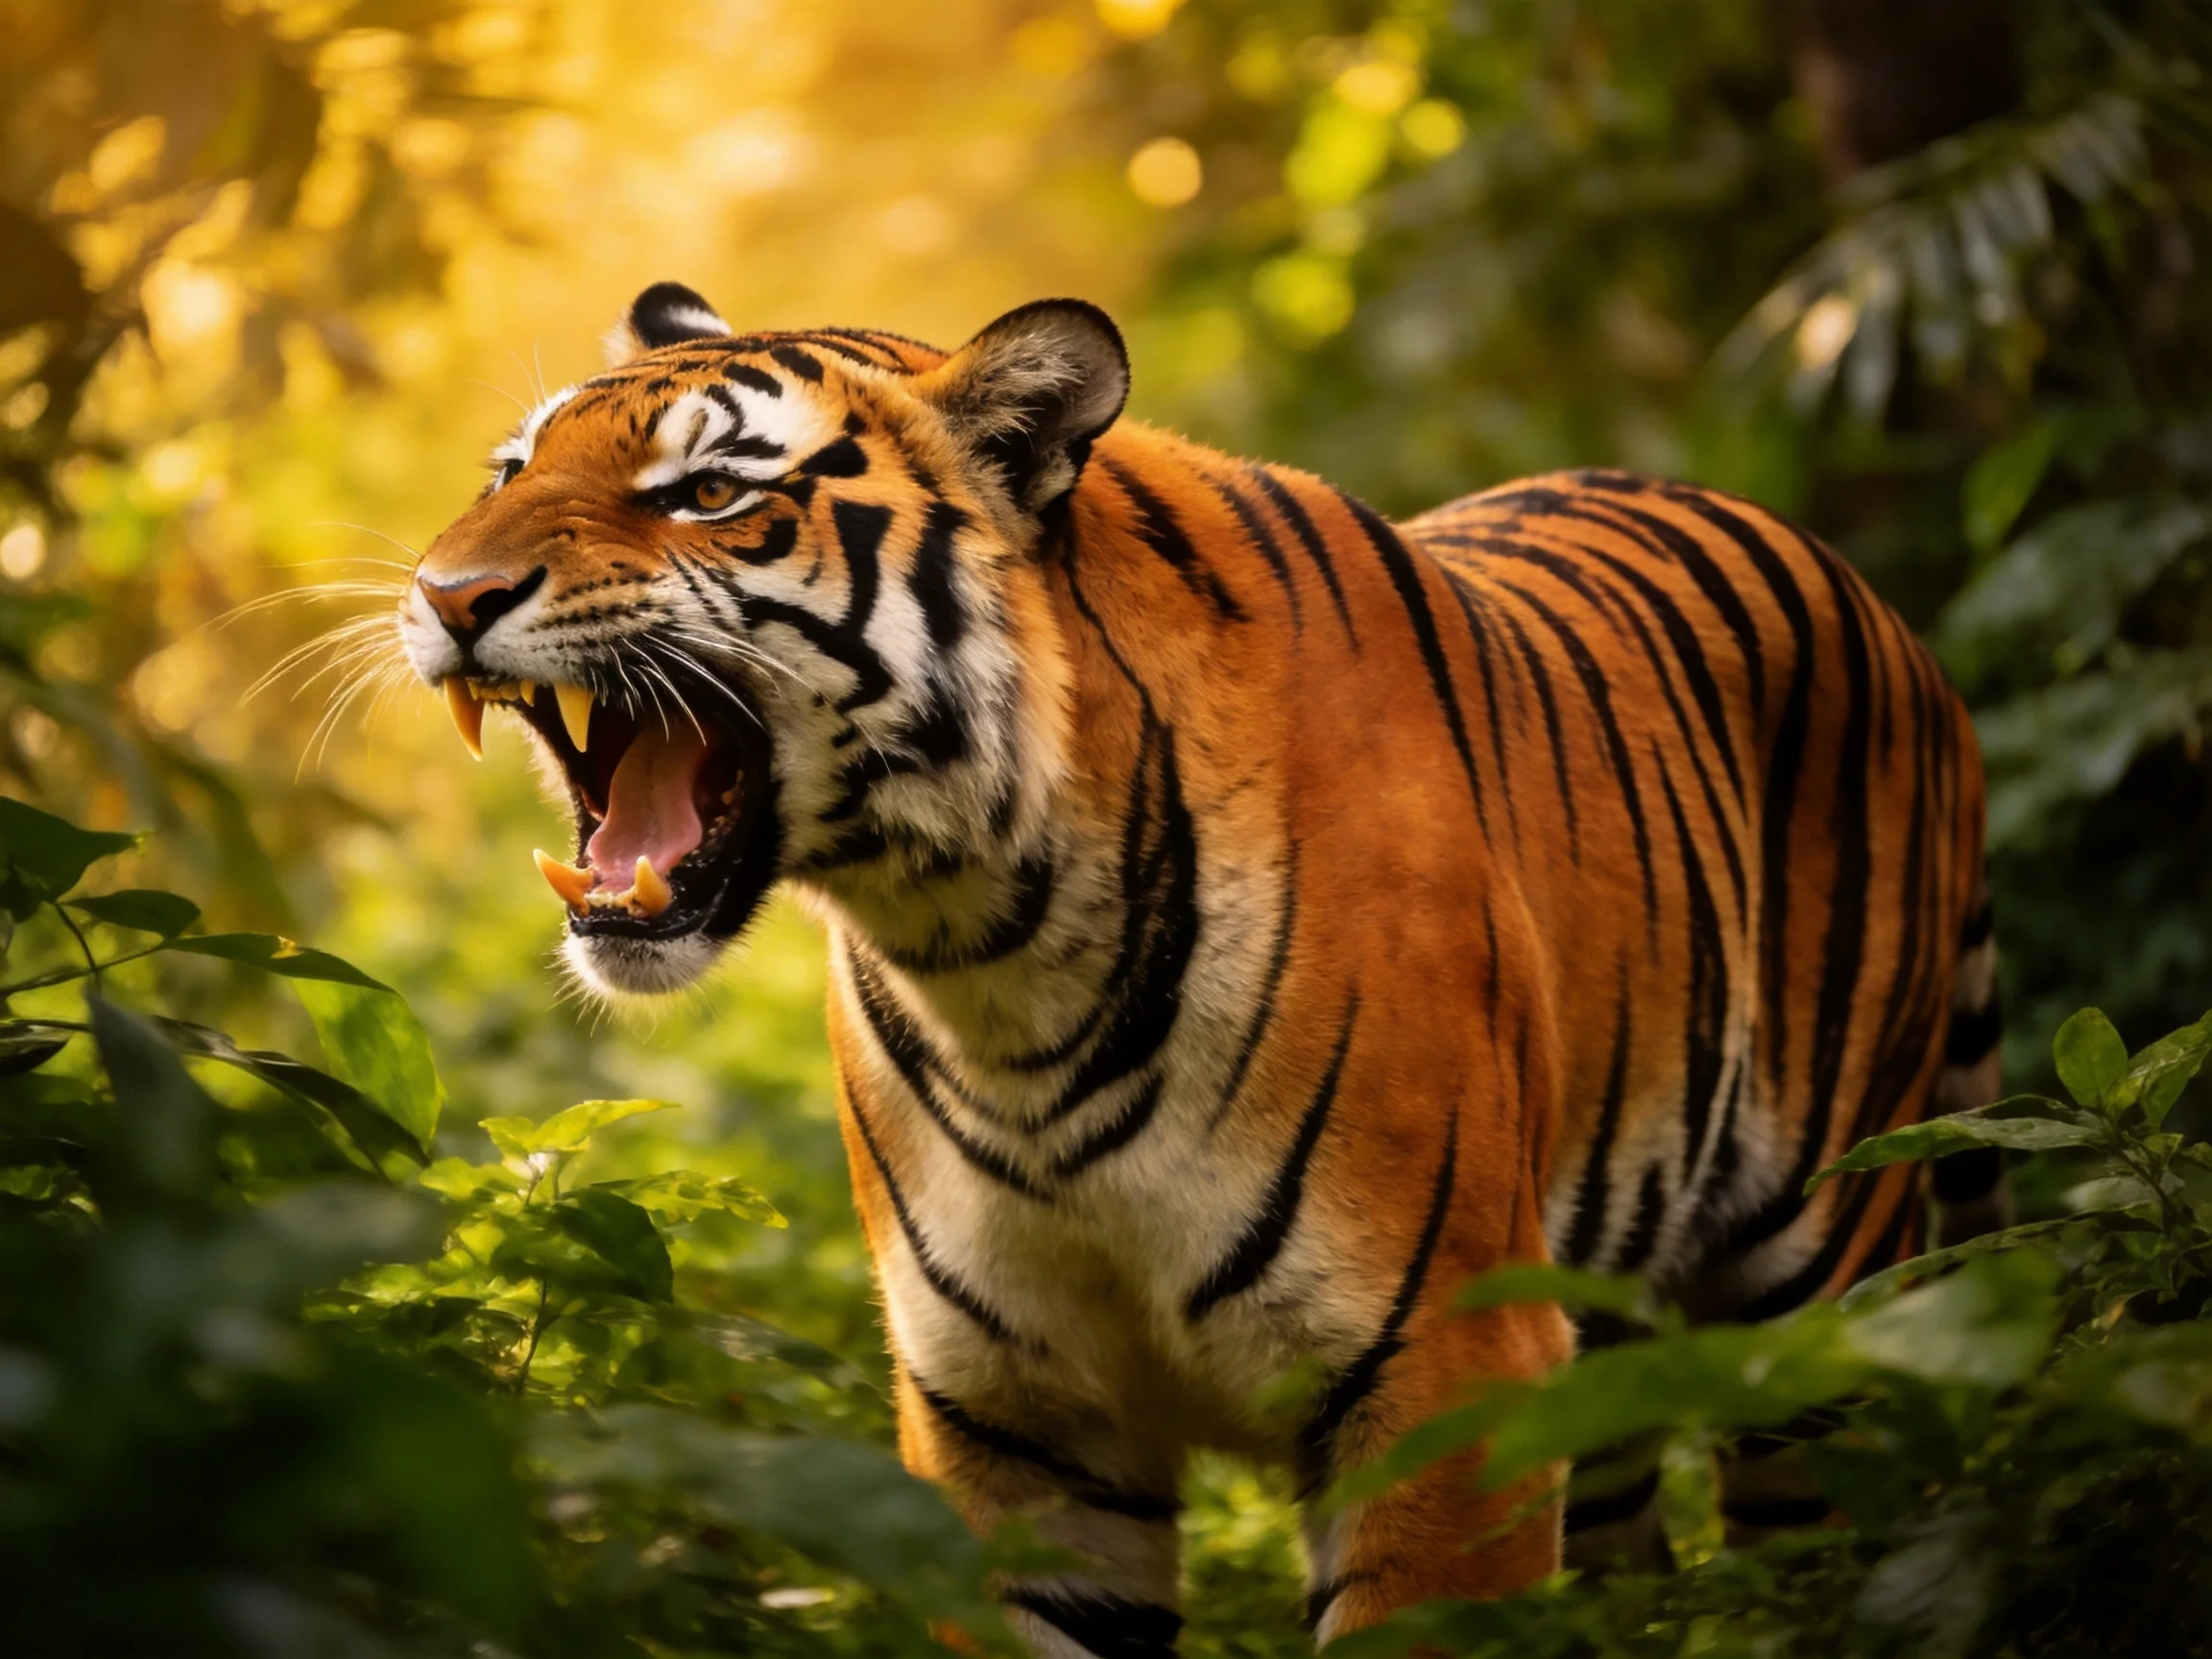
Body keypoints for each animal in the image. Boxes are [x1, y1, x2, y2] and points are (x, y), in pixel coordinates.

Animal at [395, 282, 2004, 1654]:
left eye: (713, 492)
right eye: (505, 470)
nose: (445, 591)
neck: (992, 951)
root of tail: (1888, 613)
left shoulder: (1450, 1372)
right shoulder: (1012, 1420)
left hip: (1826, 1302)